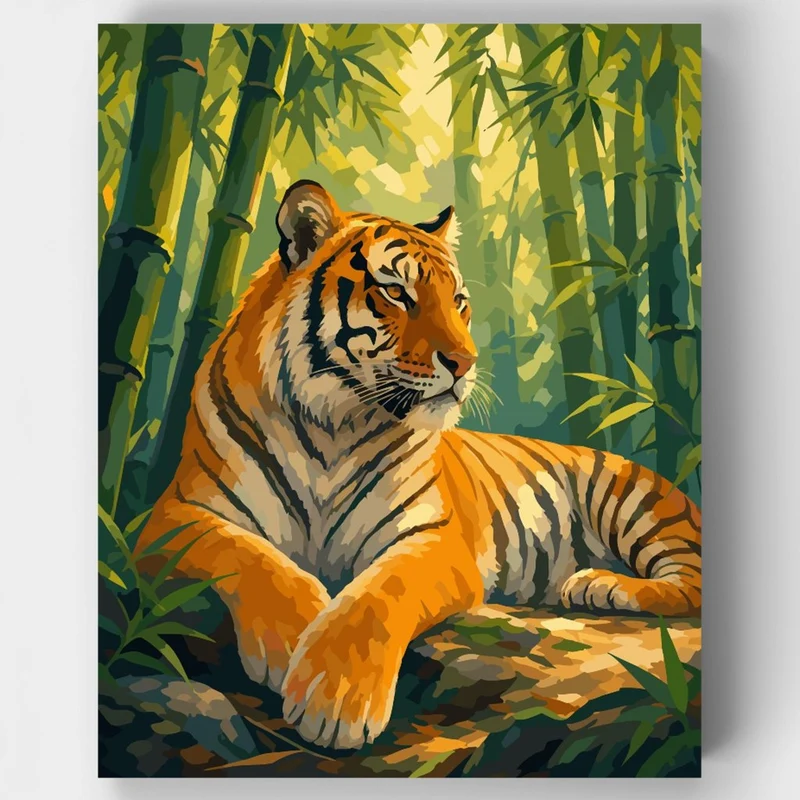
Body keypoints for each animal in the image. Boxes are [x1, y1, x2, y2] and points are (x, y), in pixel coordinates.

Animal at [135, 180, 701, 751]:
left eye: (458, 302)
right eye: (396, 293)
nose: (466, 362)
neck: (331, 426)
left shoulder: (435, 538)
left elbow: (381, 594)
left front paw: (333, 697)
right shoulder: (174, 516)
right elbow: (249, 557)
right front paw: (294, 638)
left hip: (633, 501)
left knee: (691, 583)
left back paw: (600, 585)